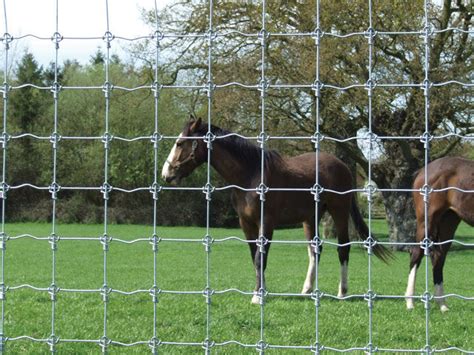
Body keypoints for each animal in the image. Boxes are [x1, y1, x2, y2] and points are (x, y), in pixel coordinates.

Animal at [161, 118, 390, 304]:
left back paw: (342, 292)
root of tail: (343, 166)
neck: (250, 176)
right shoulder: (246, 224)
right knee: (315, 250)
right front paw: (260, 291)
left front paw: (258, 296)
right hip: (310, 218)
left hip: (339, 212)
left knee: (343, 248)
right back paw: (307, 290)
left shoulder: (267, 222)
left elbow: (260, 257)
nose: (166, 173)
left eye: (180, 143)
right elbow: (254, 257)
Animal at [406, 157, 472, 312]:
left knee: (438, 258)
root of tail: (423, 170)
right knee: (416, 254)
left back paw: (442, 305)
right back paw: (410, 302)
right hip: (426, 222)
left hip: (448, 222)